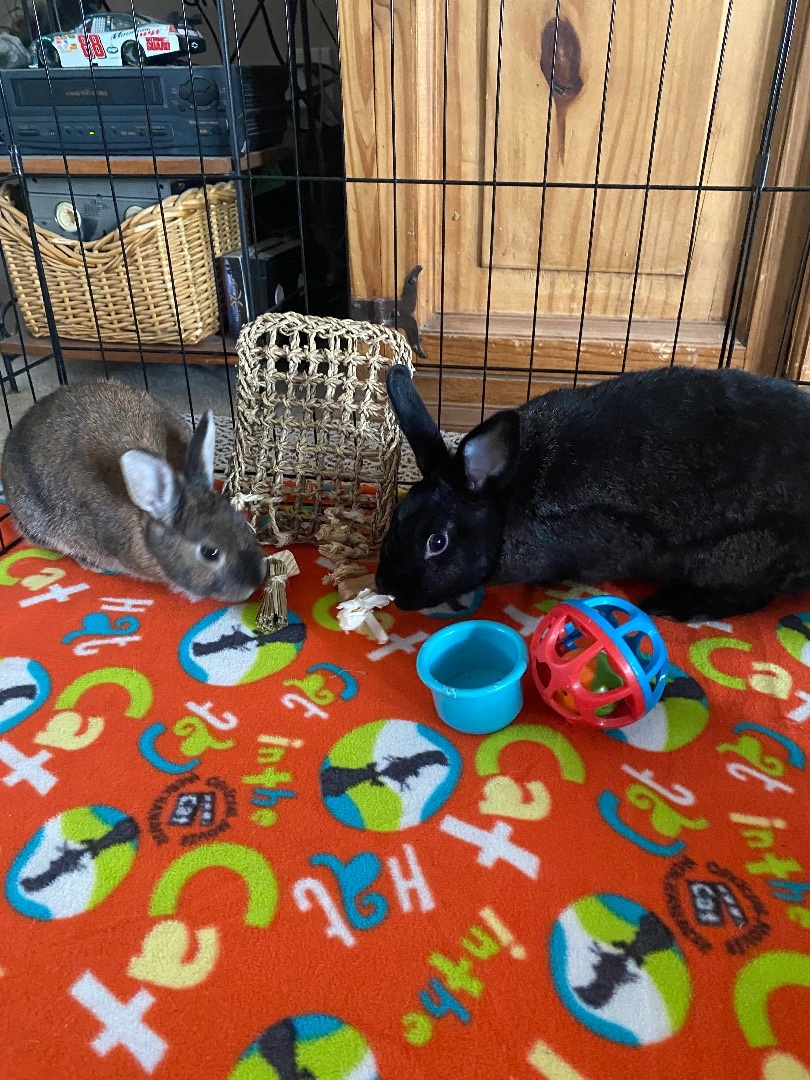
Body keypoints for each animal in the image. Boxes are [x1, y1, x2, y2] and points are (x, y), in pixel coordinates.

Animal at [376, 364, 810, 621]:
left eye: (437, 542)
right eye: (395, 522)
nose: (388, 588)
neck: (506, 506)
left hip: (736, 556)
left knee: (753, 598)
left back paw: (670, 606)